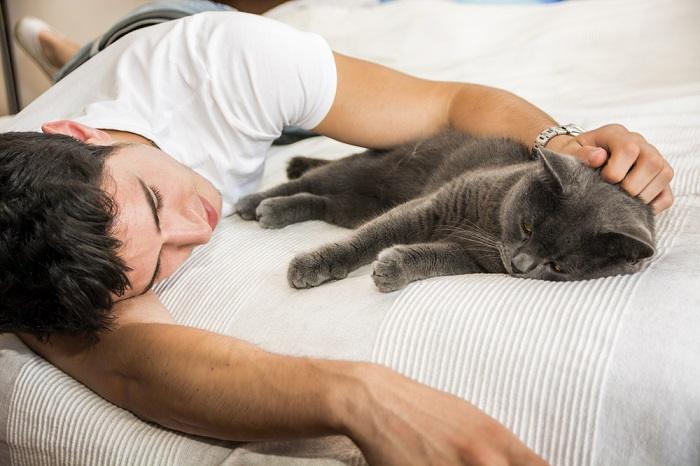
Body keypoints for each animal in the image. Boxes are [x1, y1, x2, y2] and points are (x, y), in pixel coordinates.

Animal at [237, 131, 656, 292]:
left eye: (557, 266)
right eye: (527, 226)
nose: (520, 265)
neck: (488, 222)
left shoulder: (474, 258)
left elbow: (435, 257)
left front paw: (393, 268)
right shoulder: (429, 207)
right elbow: (371, 236)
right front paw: (314, 264)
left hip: (351, 205)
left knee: (320, 201)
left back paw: (274, 210)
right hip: (366, 169)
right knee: (313, 180)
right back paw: (255, 203)